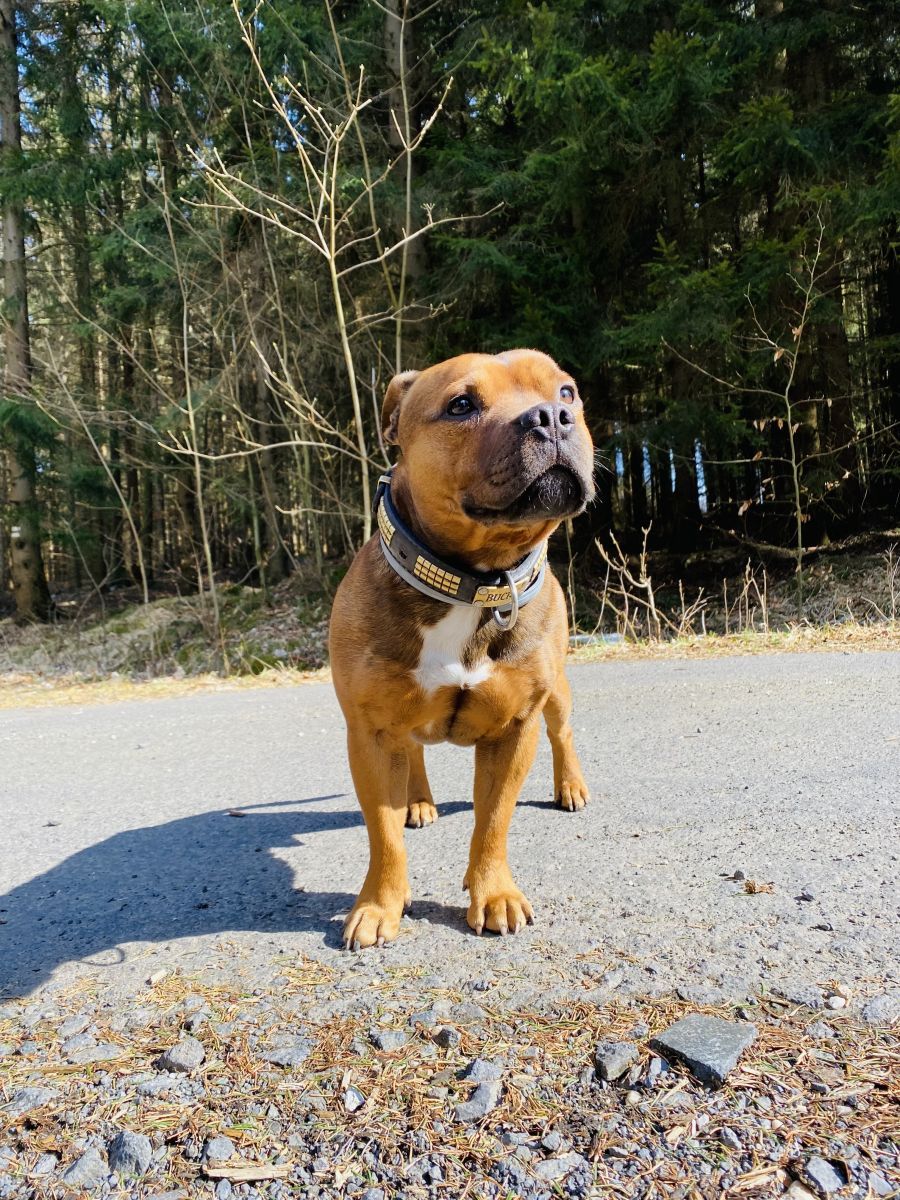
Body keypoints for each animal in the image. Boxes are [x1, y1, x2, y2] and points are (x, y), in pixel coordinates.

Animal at [329, 349, 595, 949]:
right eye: (461, 405)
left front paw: (493, 893)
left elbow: (493, 820)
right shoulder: (370, 734)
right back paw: (419, 801)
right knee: (415, 752)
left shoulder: (514, 730)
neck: (472, 580)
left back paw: (570, 786)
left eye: (566, 391)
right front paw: (380, 905)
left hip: (557, 693)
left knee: (563, 732)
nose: (550, 417)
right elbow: (383, 833)